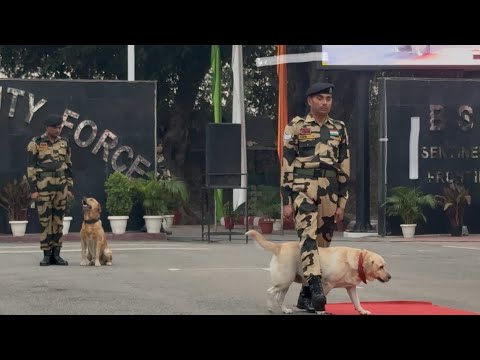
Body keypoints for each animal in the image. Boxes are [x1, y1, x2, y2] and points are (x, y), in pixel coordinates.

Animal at [248, 231, 390, 316]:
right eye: (381, 266)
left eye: (384, 266)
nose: (389, 277)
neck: (357, 260)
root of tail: (280, 246)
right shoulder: (326, 285)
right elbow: (322, 299)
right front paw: (320, 310)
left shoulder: (351, 288)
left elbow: (357, 302)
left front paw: (362, 311)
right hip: (284, 281)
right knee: (270, 291)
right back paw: (270, 308)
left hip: (287, 282)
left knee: (279, 297)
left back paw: (285, 310)